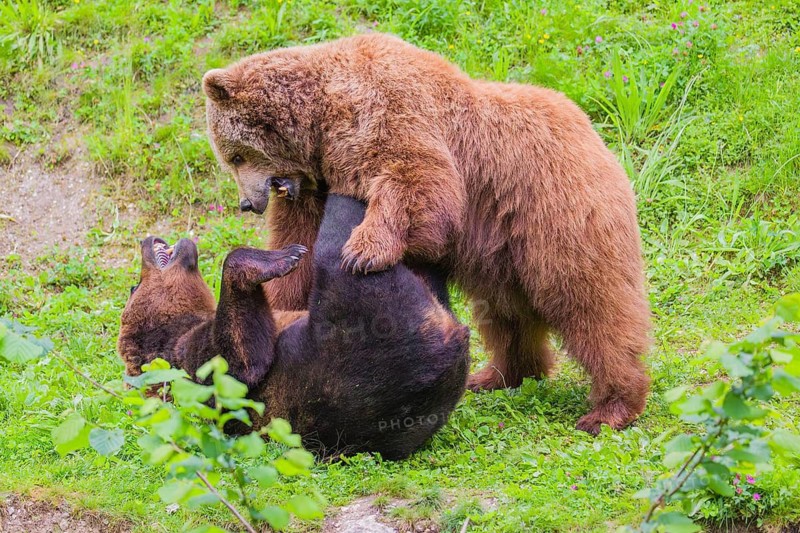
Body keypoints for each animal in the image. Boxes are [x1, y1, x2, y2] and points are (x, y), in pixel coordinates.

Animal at [118, 194, 470, 460]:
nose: (146, 239)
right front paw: (284, 256)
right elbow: (240, 361)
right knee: (337, 251)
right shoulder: (196, 363)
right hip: (358, 342)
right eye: (135, 286)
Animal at [201, 33, 652, 434]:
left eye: (235, 155)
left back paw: (610, 407)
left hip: (556, 213)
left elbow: (417, 181)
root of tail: (594, 132)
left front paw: (363, 251)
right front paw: (280, 287)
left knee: (590, 302)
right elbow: (301, 245)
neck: (319, 126)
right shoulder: (316, 185)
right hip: (500, 249)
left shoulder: (388, 111)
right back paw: (498, 374)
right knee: (505, 312)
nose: (247, 204)